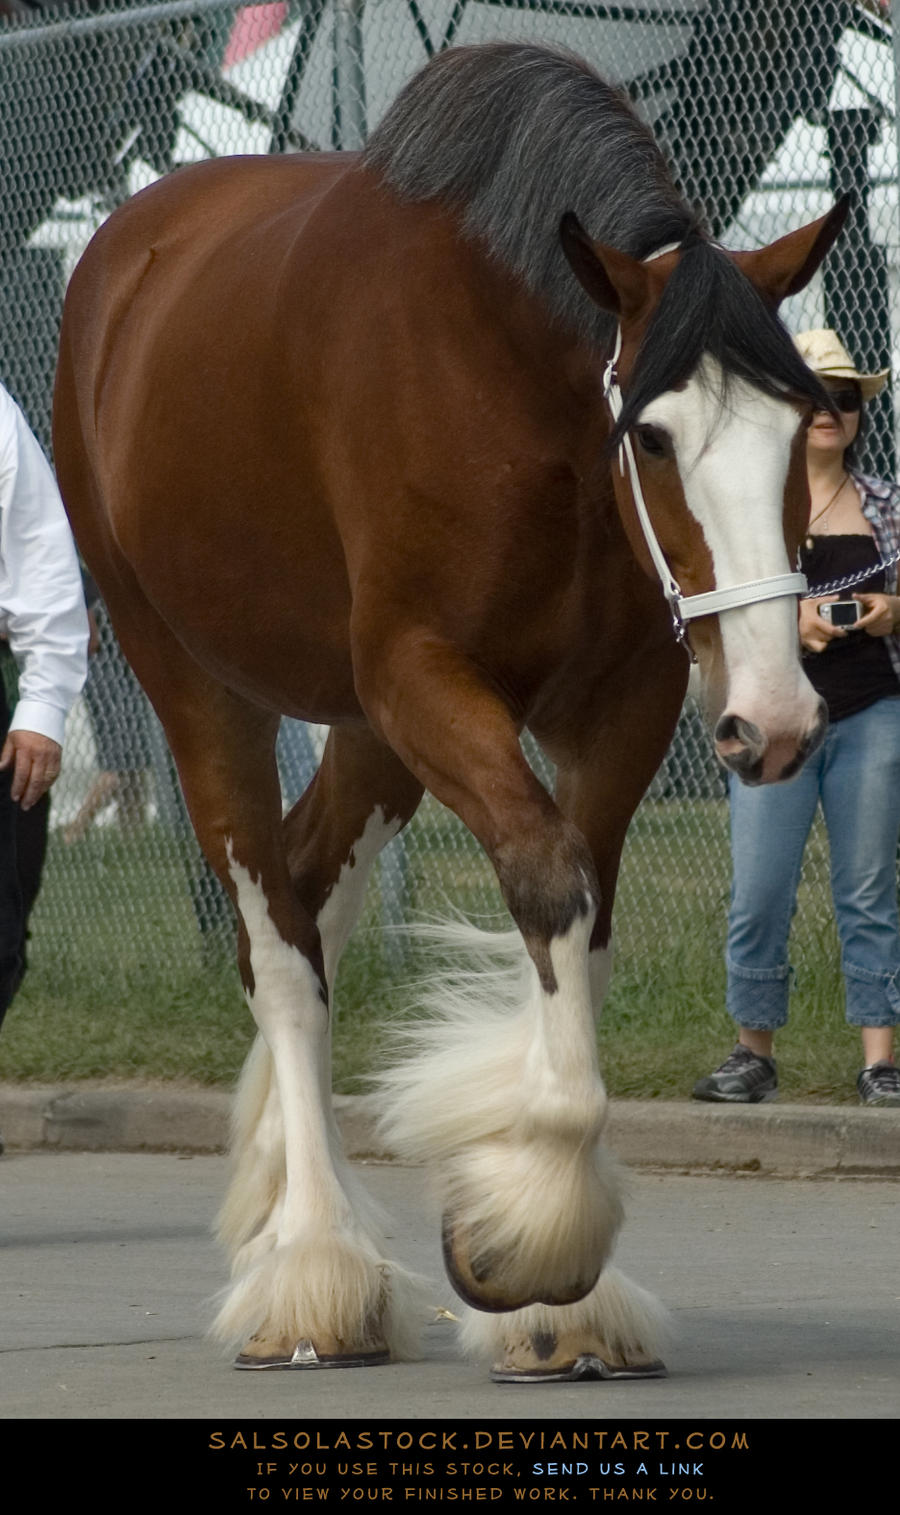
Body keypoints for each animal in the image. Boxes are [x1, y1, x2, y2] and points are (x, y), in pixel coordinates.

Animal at [54, 41, 842, 1387]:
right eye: (657, 438)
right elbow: (546, 883)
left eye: (804, 428)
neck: (513, 382)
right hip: (199, 681)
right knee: (279, 945)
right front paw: (525, 1240)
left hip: (370, 736)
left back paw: (279, 1203)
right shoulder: (423, 676)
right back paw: (312, 1266)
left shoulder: (615, 706)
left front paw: (562, 1299)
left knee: (311, 896)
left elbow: (583, 923)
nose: (774, 718)